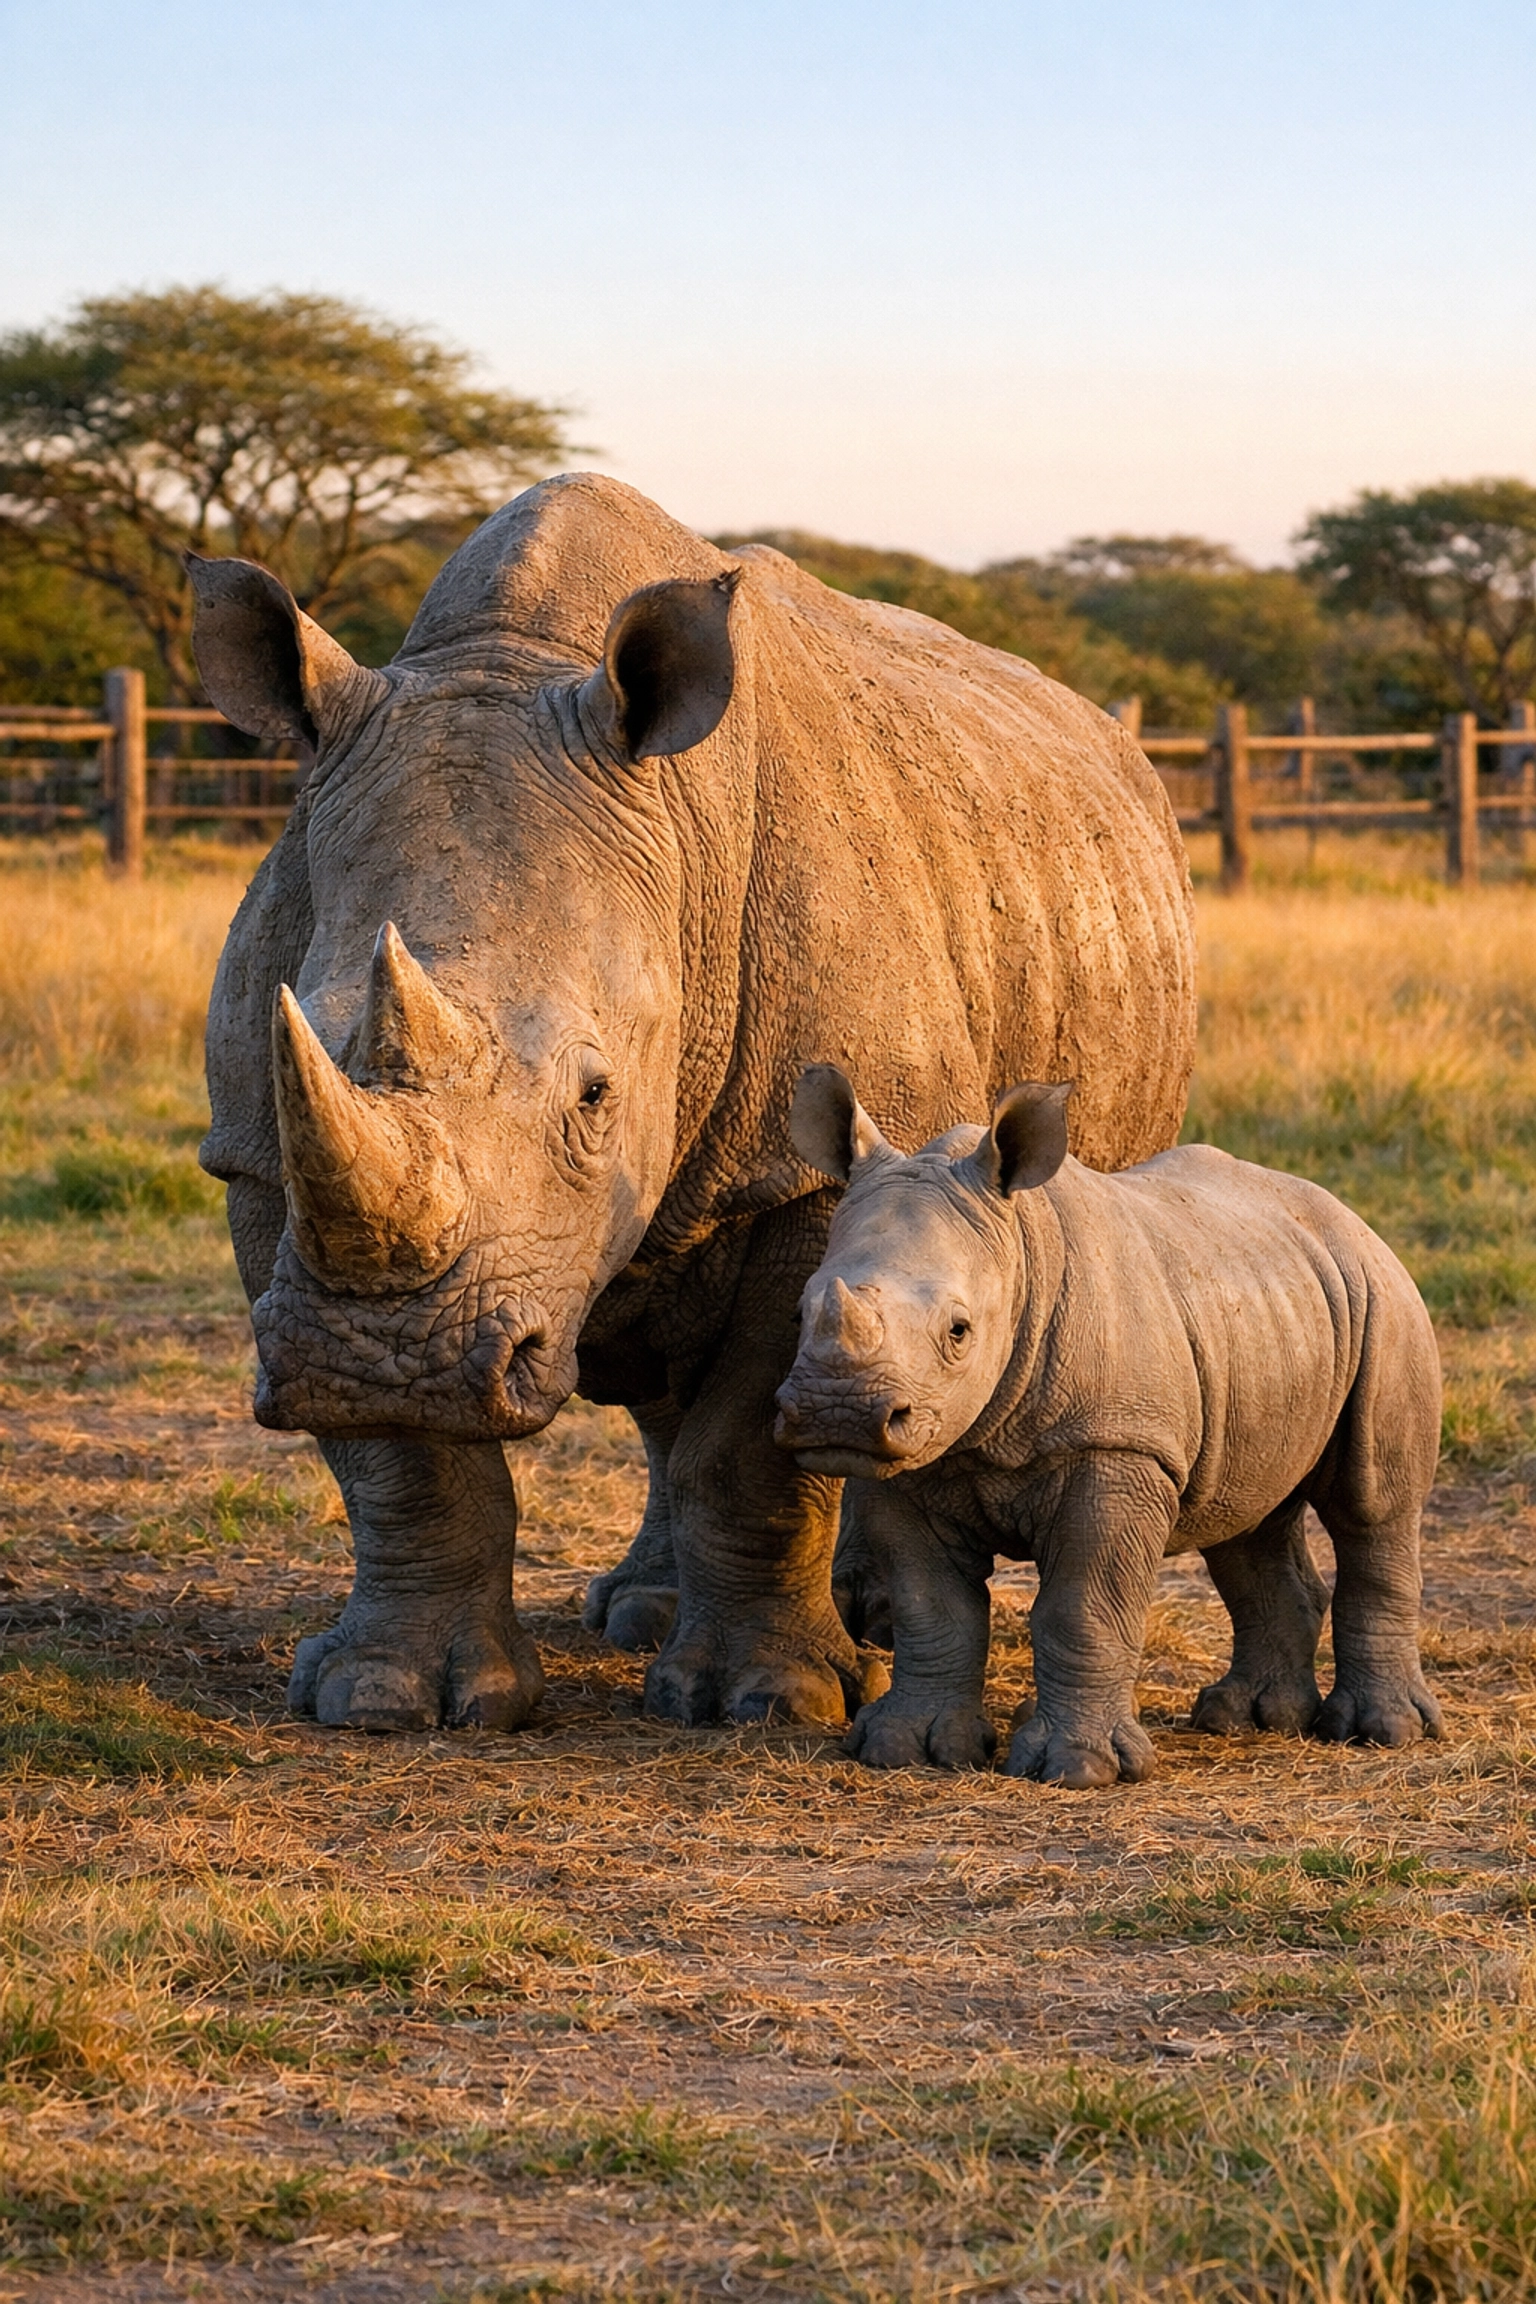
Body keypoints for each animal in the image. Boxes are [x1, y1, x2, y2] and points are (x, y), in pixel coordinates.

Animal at [191, 474, 1196, 1737]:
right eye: (304, 1045)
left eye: (594, 1094)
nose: (387, 1361)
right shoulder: (258, 1159)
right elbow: (405, 1470)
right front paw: (384, 1697)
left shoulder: (810, 1168)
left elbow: (750, 1450)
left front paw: (762, 1701)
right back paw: (642, 1613)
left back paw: (846, 1628)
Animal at [775, 1066, 1443, 1785]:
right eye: (799, 1312)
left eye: (959, 1331)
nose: (839, 1410)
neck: (1019, 1253)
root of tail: (1347, 1215)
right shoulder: (914, 1458)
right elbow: (931, 1604)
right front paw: (906, 1747)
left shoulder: (1120, 1447)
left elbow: (1084, 1607)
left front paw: (1078, 1769)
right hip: (1267, 1300)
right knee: (1245, 1517)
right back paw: (1246, 1719)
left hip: (1382, 1295)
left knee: (1371, 1507)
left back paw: (1380, 1732)